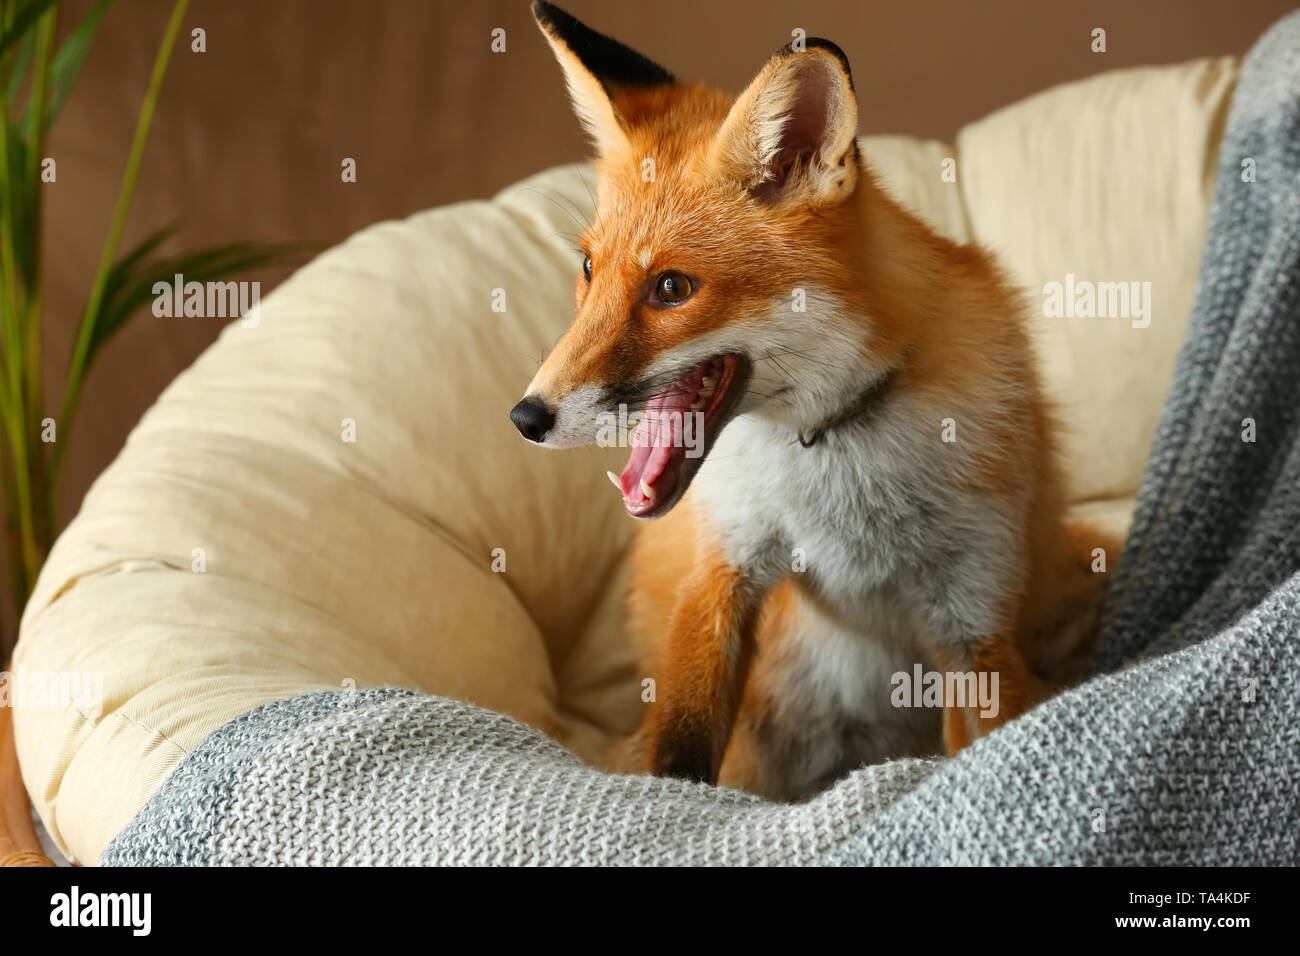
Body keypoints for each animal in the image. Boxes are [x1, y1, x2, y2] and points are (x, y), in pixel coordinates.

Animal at [511, 1, 1120, 800]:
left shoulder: (973, 618)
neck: (831, 441)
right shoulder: (721, 569)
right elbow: (681, 755)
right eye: (587, 268)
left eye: (671, 288)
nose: (526, 417)